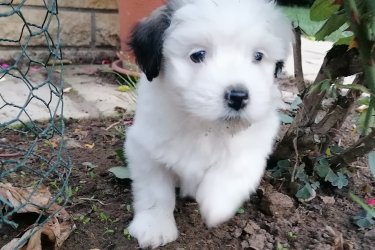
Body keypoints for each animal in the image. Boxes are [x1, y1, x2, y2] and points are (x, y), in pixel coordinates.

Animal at [126, 0, 294, 248]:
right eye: (198, 55)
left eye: (258, 56)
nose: (238, 96)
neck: (205, 126)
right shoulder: (144, 146)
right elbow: (155, 190)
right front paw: (154, 226)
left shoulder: (258, 137)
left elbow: (236, 167)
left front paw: (216, 203)